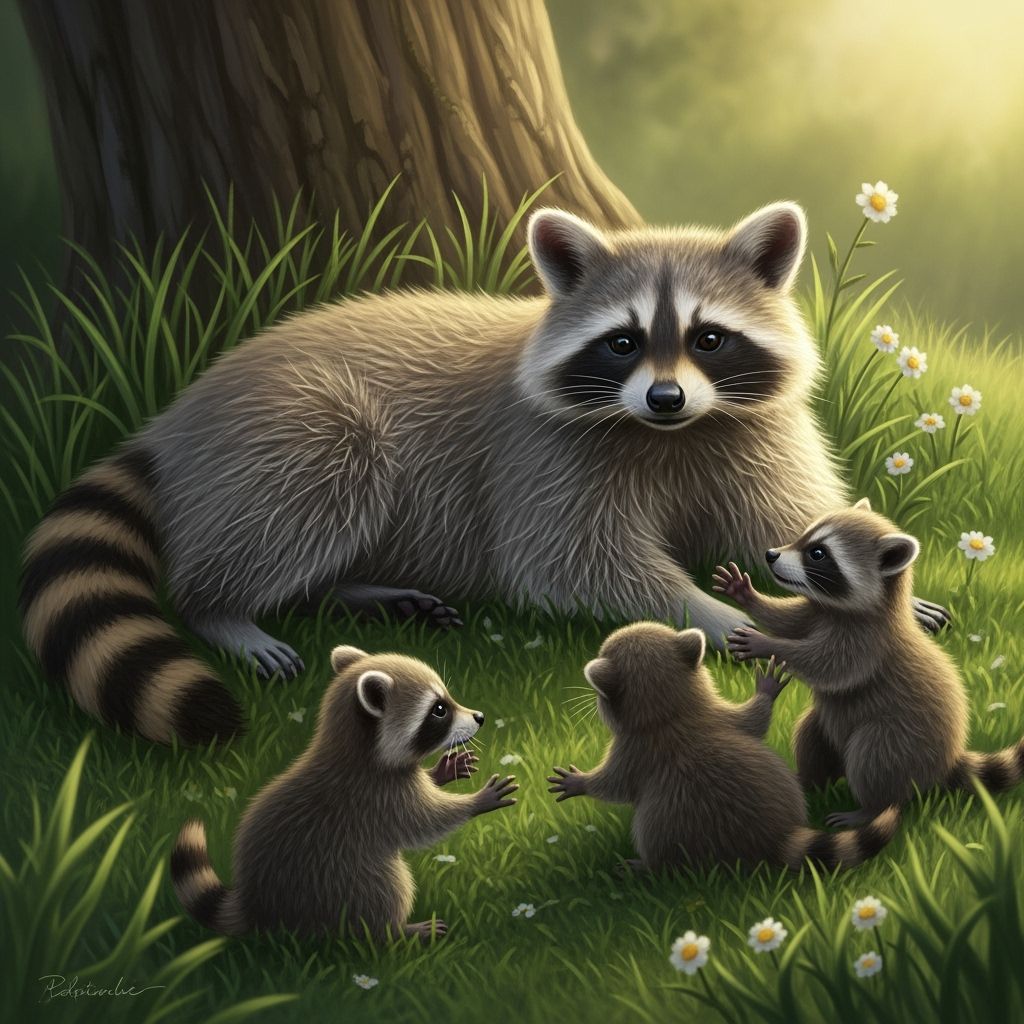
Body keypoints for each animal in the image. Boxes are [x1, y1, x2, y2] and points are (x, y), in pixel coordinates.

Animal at [20, 201, 949, 743]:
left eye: (709, 337)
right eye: (622, 342)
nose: (665, 396)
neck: (672, 437)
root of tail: (180, 417)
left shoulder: (744, 430)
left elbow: (778, 517)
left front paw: (858, 586)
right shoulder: (543, 457)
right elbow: (573, 563)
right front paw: (713, 615)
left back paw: (354, 589)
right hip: (288, 435)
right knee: (307, 493)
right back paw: (225, 609)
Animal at [170, 646, 517, 941]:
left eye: (445, 701)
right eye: (440, 710)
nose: (480, 717)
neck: (351, 743)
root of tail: (257, 905)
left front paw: (441, 772)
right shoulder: (375, 796)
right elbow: (425, 822)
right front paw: (475, 802)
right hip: (335, 878)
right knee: (386, 887)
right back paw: (396, 931)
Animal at [548, 622, 900, 871]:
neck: (669, 710)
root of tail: (774, 835)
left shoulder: (635, 750)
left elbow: (615, 785)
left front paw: (582, 782)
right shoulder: (720, 716)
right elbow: (752, 722)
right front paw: (765, 692)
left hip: (673, 825)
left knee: (653, 832)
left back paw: (649, 866)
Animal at [723, 499, 1023, 825]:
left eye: (818, 553)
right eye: (803, 536)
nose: (771, 554)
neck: (840, 609)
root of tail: (948, 761)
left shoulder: (871, 644)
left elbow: (828, 667)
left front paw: (766, 644)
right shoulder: (818, 613)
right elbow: (787, 620)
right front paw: (750, 597)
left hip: (906, 740)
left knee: (873, 755)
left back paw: (870, 810)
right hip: (829, 730)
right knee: (810, 734)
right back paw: (808, 780)